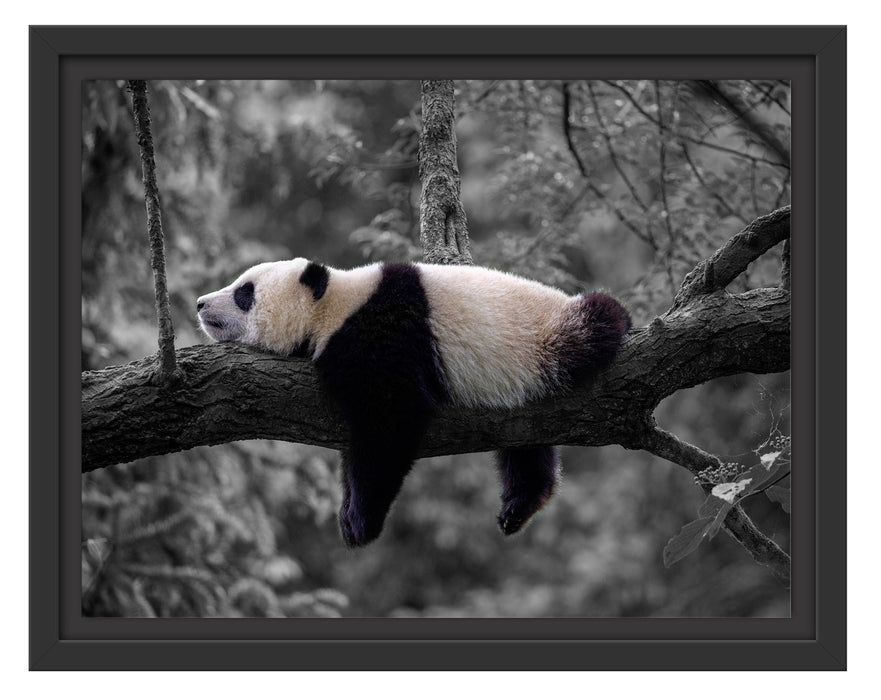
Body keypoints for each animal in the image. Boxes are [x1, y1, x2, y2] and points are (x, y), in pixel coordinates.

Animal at [197, 259, 631, 547]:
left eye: (244, 292)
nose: (201, 303)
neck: (335, 304)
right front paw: (348, 510)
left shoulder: (383, 334)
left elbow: (392, 421)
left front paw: (360, 521)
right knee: (525, 445)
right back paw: (520, 504)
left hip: (548, 338)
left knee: (597, 322)